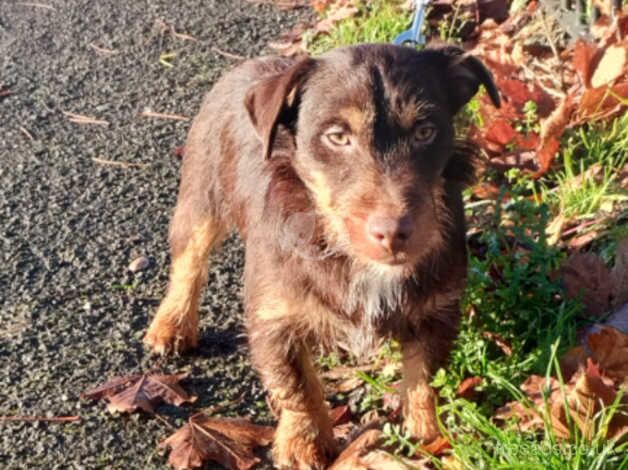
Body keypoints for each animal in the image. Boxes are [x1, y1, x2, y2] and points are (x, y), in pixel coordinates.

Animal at [145, 43, 498, 466]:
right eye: (337, 137)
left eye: (425, 131)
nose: (394, 232)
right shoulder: (273, 318)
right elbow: (297, 386)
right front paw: (303, 443)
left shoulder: (437, 312)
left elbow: (424, 379)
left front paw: (429, 438)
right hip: (201, 198)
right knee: (189, 263)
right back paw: (172, 325)